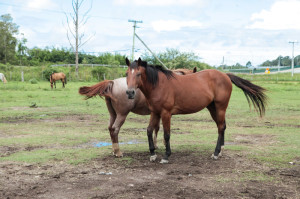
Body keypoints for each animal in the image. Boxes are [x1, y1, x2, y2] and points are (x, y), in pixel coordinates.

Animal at [125, 57, 268, 163]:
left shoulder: (166, 113)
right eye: (126, 74)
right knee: (221, 126)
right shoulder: (155, 112)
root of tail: (225, 75)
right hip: (212, 108)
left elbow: (167, 134)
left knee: (221, 127)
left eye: (138, 74)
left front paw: (166, 156)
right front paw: (153, 154)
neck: (159, 84)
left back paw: (216, 153)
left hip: (221, 107)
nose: (130, 93)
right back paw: (220, 150)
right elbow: (149, 130)